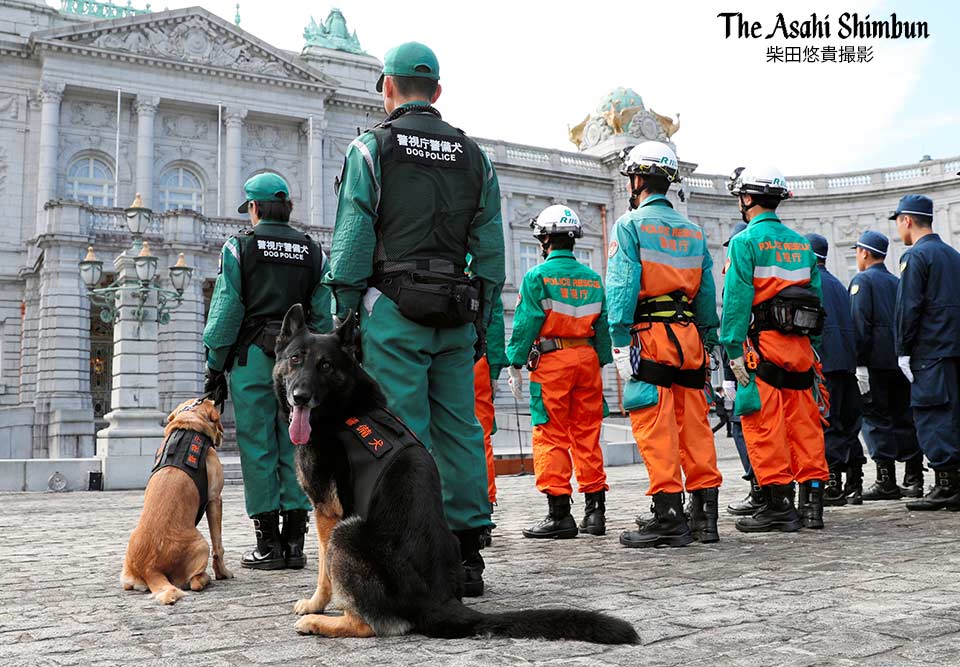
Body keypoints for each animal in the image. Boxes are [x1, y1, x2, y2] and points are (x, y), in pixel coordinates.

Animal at [121, 400, 233, 604]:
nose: (222, 436)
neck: (189, 424)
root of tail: (150, 568)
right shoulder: (215, 499)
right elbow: (218, 546)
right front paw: (223, 573)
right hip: (202, 545)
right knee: (195, 583)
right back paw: (205, 578)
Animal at [272, 306, 636, 644]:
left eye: (325, 366)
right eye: (295, 359)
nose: (300, 397)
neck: (345, 405)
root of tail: (438, 601)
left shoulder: (326, 514)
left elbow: (323, 573)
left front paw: (315, 605)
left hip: (346, 533)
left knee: (371, 625)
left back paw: (319, 623)